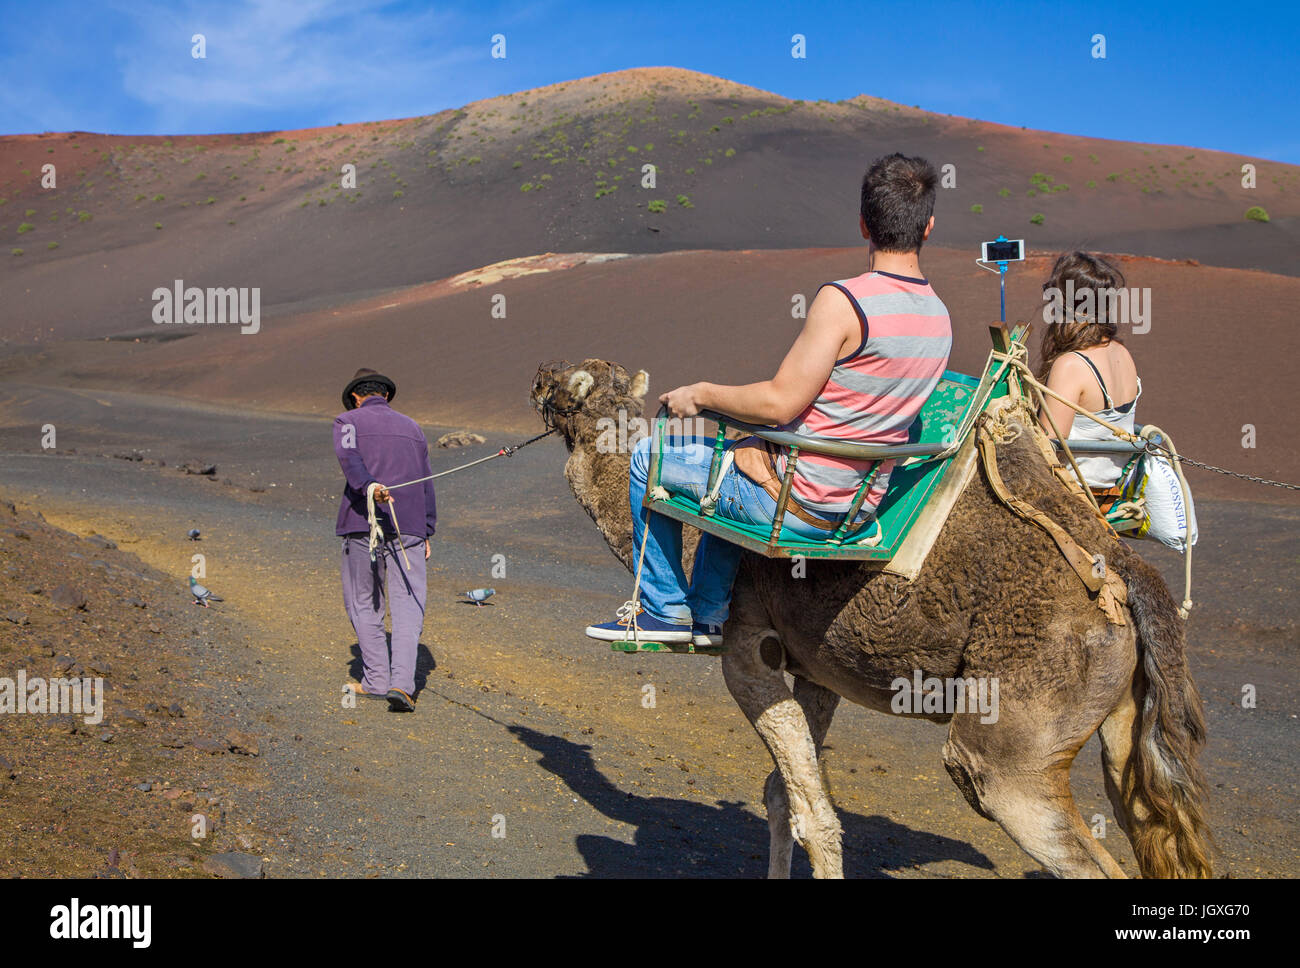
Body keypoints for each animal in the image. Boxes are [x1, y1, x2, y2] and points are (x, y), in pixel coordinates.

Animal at [530, 361, 1216, 878]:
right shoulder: (817, 668)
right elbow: (781, 796)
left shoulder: (747, 646)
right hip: (1118, 715)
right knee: (1148, 822)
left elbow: (814, 814)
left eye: (564, 385)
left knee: (1024, 805)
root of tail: (1122, 571)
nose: (536, 372)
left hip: (1024, 721)